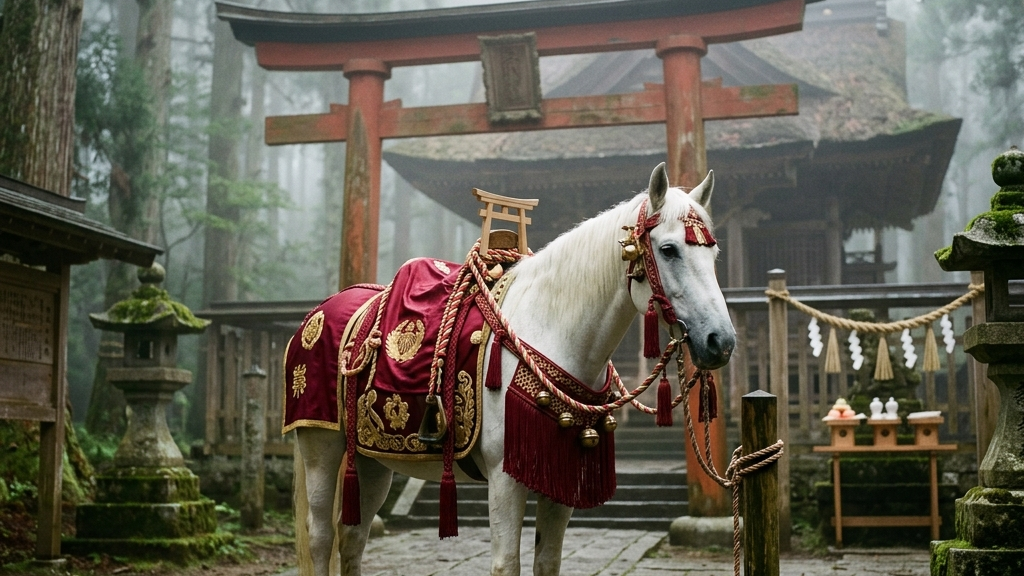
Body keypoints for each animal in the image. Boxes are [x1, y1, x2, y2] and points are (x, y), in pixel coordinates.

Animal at [291, 163, 736, 576]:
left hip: (370, 458)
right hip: (321, 442)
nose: (721, 341)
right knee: (321, 537)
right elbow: (507, 564)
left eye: (713, 253)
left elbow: (547, 562)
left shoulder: (560, 479)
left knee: (353, 537)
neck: (551, 329)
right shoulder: (505, 479)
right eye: (669, 250)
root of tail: (319, 311)